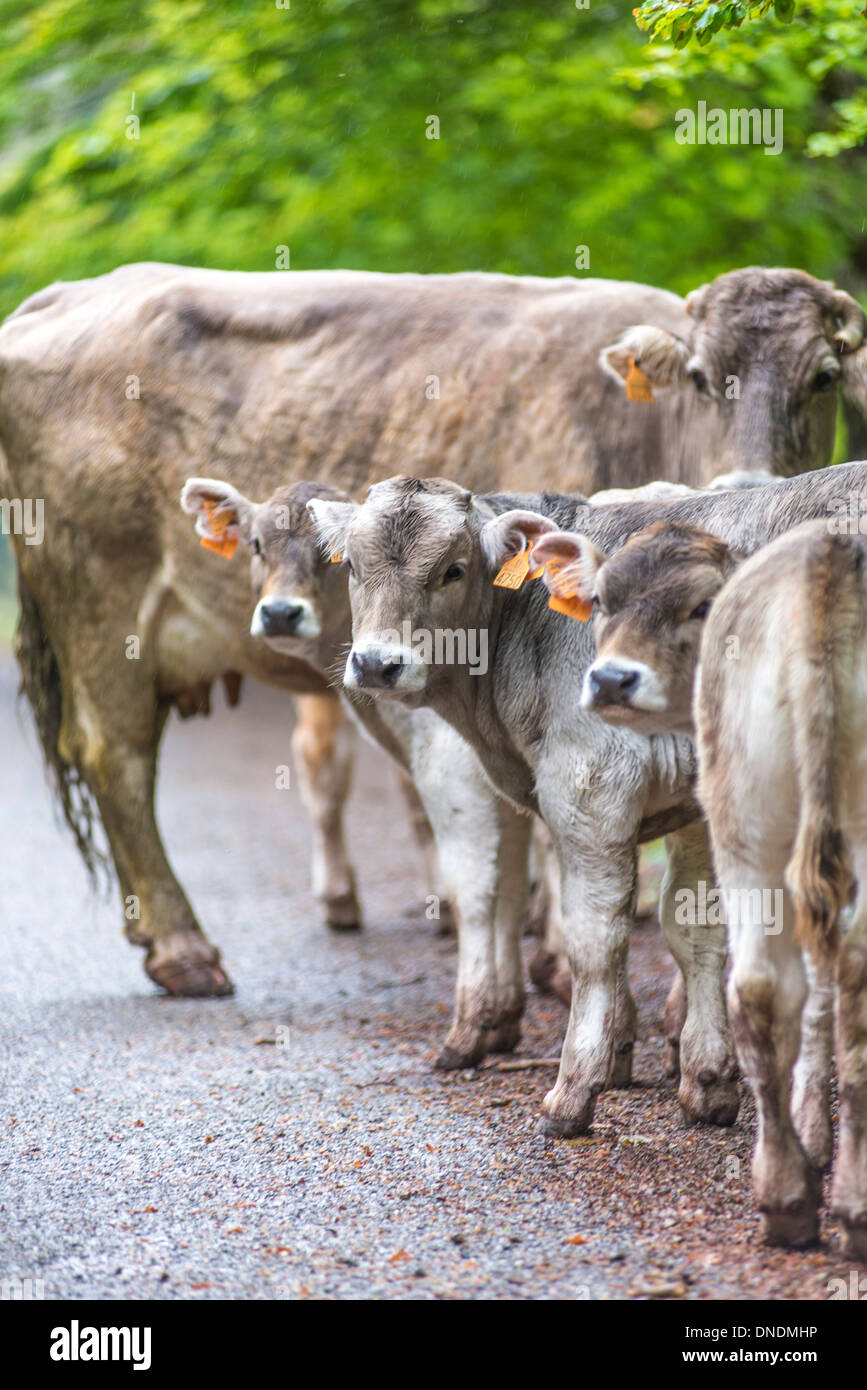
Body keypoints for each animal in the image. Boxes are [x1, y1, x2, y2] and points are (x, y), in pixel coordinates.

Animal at [1, 262, 864, 997]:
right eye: (697, 378)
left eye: (821, 377)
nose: (749, 479)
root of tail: (56, 298)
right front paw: (552, 957)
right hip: (99, 604)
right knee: (115, 755)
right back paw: (183, 950)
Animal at [308, 459, 867, 1140]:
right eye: (354, 569)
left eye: (453, 569)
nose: (376, 664)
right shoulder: (699, 801)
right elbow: (695, 926)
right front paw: (708, 1081)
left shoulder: (591, 786)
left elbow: (594, 941)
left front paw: (573, 1090)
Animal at [572, 517, 867, 1255]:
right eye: (600, 599)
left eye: (700, 605)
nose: (611, 678)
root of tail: (829, 560)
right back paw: (824, 1201)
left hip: (747, 814)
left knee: (764, 986)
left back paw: (803, 1200)